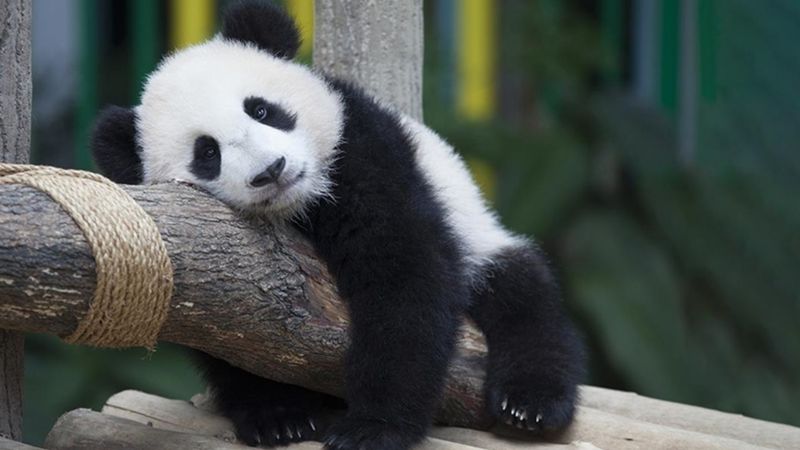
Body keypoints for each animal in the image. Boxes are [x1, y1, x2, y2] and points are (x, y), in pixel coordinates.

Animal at [90, 1, 585, 449]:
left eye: (262, 110)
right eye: (207, 152)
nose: (272, 170)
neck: (300, 207)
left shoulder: (362, 152)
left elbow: (403, 275)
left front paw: (374, 428)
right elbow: (222, 331)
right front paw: (278, 415)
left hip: (478, 231)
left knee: (521, 295)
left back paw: (529, 402)